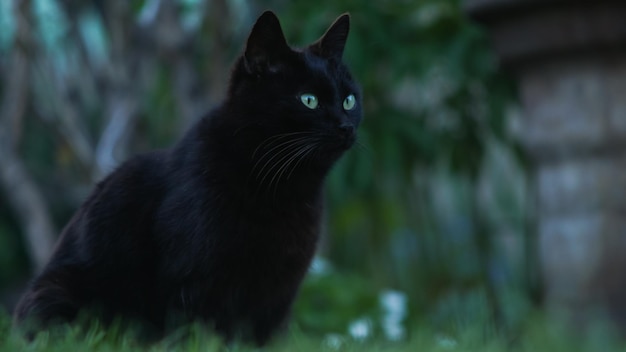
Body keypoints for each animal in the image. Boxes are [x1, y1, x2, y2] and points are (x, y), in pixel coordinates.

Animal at [13, 10, 360, 344]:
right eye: (309, 100)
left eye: (349, 100)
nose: (346, 126)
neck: (281, 189)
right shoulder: (195, 280)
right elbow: (198, 332)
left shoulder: (279, 291)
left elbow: (263, 336)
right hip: (59, 292)